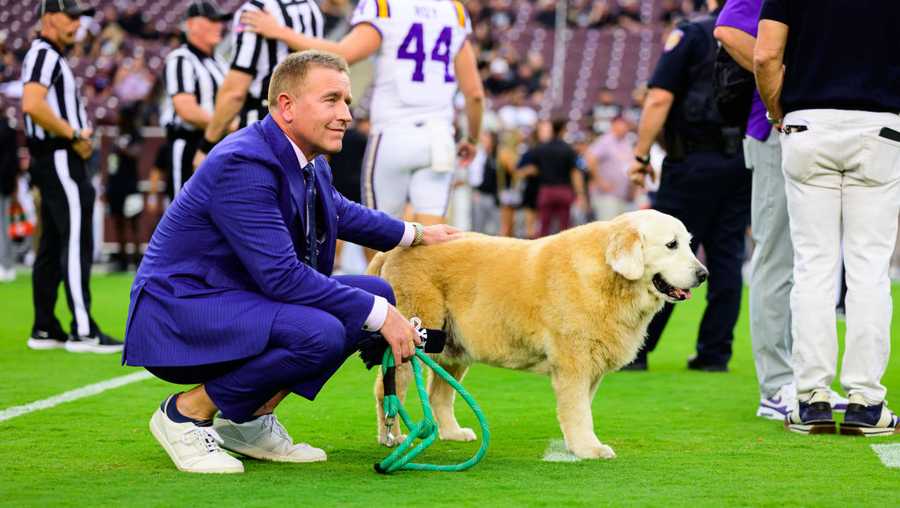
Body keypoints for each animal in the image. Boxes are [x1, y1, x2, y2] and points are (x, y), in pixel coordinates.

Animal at [370, 208, 708, 458]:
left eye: (689, 243)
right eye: (671, 245)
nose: (703, 274)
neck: (608, 277)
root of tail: (393, 251)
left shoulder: (592, 366)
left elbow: (581, 407)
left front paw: (579, 445)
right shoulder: (573, 362)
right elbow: (578, 410)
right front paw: (589, 448)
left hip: (452, 347)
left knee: (439, 393)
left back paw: (452, 433)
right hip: (410, 338)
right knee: (389, 391)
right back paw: (393, 437)